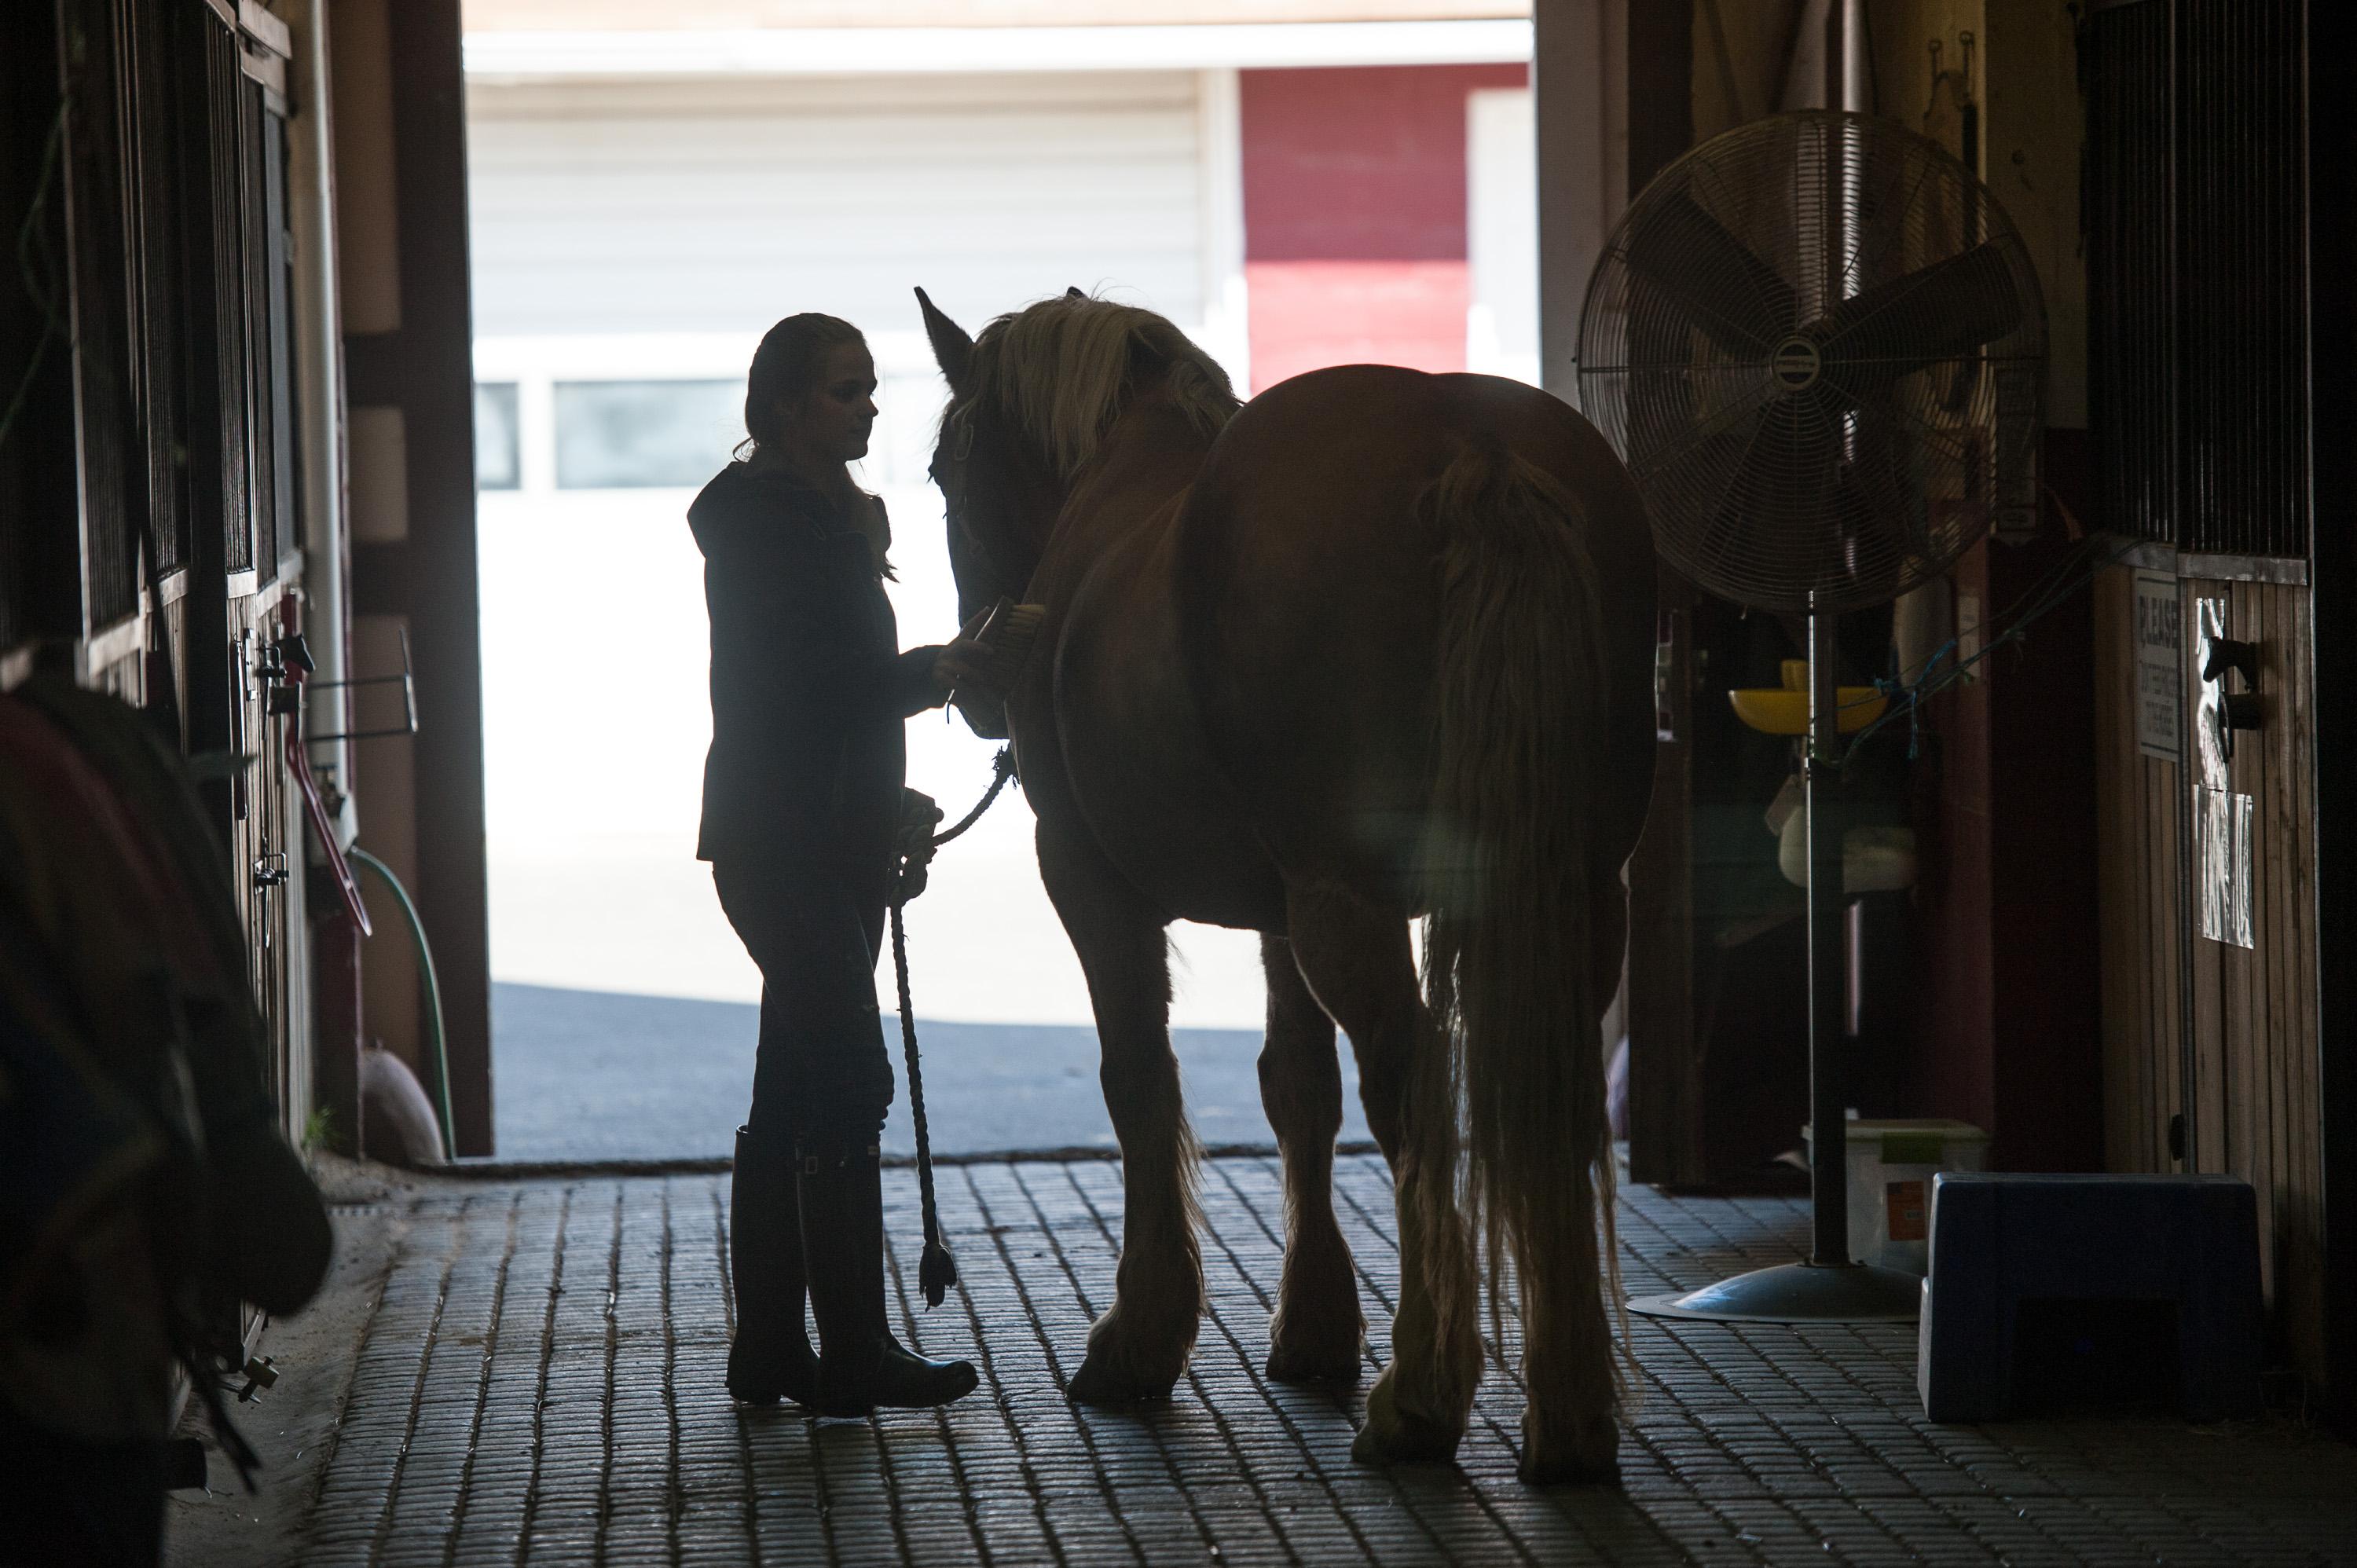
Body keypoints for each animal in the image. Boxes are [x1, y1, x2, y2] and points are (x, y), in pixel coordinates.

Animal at [915, 284, 1659, 1480]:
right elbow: (1295, 1087)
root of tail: (1475, 446)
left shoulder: (1088, 880)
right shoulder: (1279, 912)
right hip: (1573, 894)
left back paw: (1421, 1396)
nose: (980, 682)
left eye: (944, 469)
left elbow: (1139, 1079)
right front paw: (1314, 1324)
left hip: (1355, 903)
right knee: (1551, 1097)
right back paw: (1572, 1411)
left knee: (1413, 1088)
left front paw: (1141, 1333)